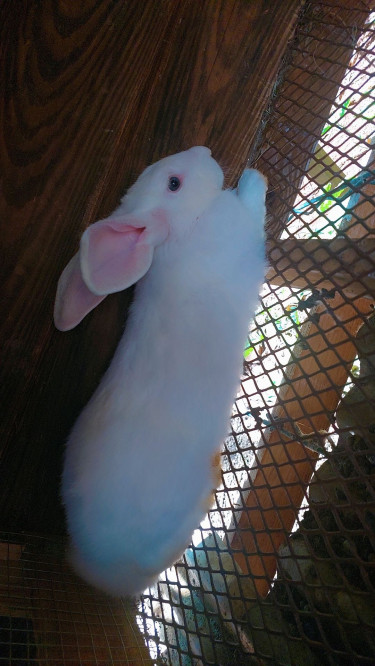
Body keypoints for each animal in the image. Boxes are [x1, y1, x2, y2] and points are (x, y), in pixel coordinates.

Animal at [55, 145, 268, 592]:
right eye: (174, 183)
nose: (205, 150)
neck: (184, 229)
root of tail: (96, 569)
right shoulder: (243, 233)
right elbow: (254, 208)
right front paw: (254, 179)